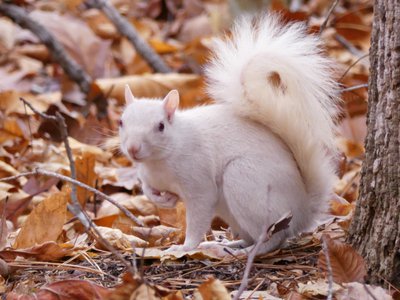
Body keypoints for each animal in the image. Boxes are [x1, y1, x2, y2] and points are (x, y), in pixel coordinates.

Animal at [120, 13, 340, 253]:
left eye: (160, 126)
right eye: (121, 121)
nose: (133, 148)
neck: (159, 162)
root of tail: (303, 210)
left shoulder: (199, 181)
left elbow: (198, 216)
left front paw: (185, 247)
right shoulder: (148, 175)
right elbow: (147, 190)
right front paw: (164, 200)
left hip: (244, 182)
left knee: (274, 238)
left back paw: (245, 252)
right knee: (252, 236)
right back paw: (227, 245)